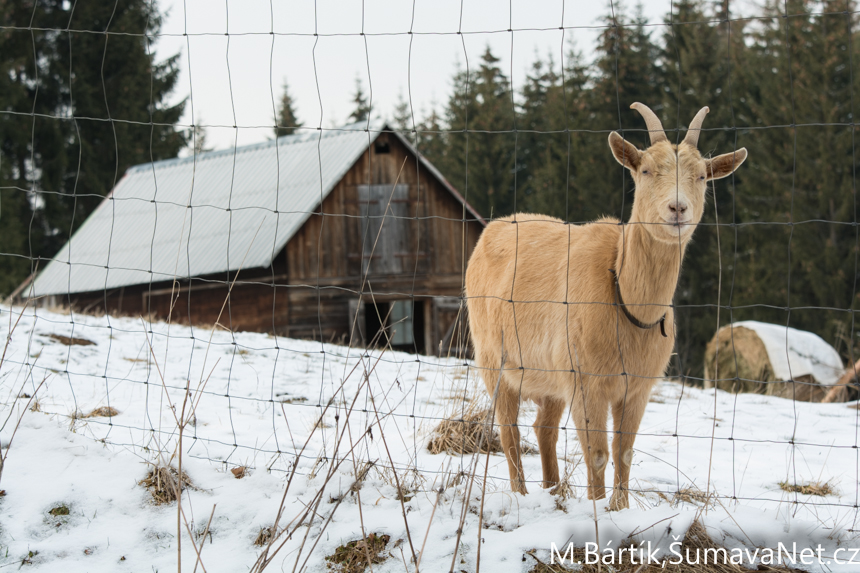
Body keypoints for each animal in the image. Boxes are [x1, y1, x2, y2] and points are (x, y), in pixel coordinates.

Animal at [464, 103, 744, 510]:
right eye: (645, 170)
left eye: (702, 176)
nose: (678, 208)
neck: (626, 300)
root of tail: (495, 227)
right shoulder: (586, 380)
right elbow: (596, 452)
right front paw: (598, 508)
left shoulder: (637, 387)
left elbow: (624, 451)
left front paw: (619, 508)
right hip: (493, 359)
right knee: (509, 430)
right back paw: (521, 493)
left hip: (551, 375)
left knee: (544, 428)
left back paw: (553, 490)